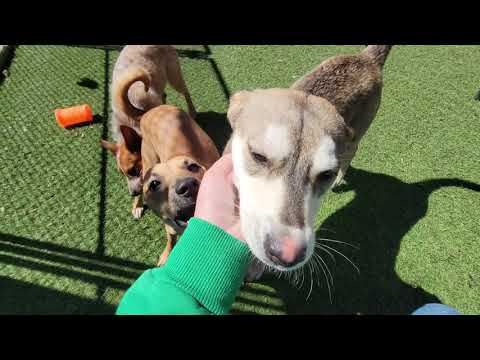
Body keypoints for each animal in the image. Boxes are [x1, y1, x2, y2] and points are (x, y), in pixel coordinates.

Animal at [101, 45, 197, 219]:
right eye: (122, 174)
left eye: (133, 170)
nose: (132, 193)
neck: (133, 121)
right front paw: (137, 205)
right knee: (164, 94)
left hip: (174, 77)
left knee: (185, 91)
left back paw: (192, 111)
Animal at [140, 103, 220, 264]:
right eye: (154, 184)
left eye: (193, 167)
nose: (188, 187)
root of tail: (155, 108)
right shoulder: (169, 225)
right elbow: (171, 238)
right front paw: (166, 255)